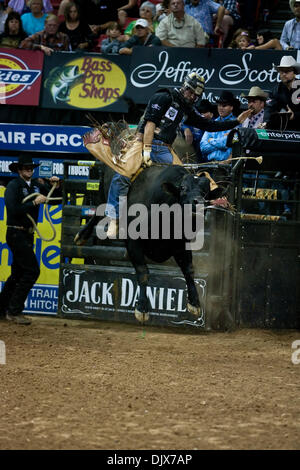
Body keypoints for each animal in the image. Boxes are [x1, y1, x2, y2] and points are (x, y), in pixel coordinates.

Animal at [72, 123, 232, 324]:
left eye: (205, 192)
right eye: (183, 188)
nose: (198, 203)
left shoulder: (180, 244)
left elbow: (189, 269)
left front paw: (195, 303)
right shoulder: (133, 242)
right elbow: (143, 272)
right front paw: (142, 308)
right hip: (103, 191)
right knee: (99, 211)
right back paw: (81, 236)